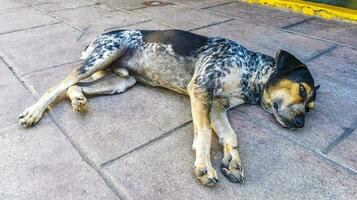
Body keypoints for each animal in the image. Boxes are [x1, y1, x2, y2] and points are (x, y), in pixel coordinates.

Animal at [18, 29, 318, 186]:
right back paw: (34, 112)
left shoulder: (218, 106)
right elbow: (204, 134)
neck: (249, 74)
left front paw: (233, 161)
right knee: (58, 84)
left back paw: (79, 100)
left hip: (120, 81)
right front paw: (204, 165)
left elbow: (230, 135)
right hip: (104, 54)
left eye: (311, 107)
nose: (301, 124)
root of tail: (99, 36)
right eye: (302, 90)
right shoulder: (201, 89)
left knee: (75, 86)